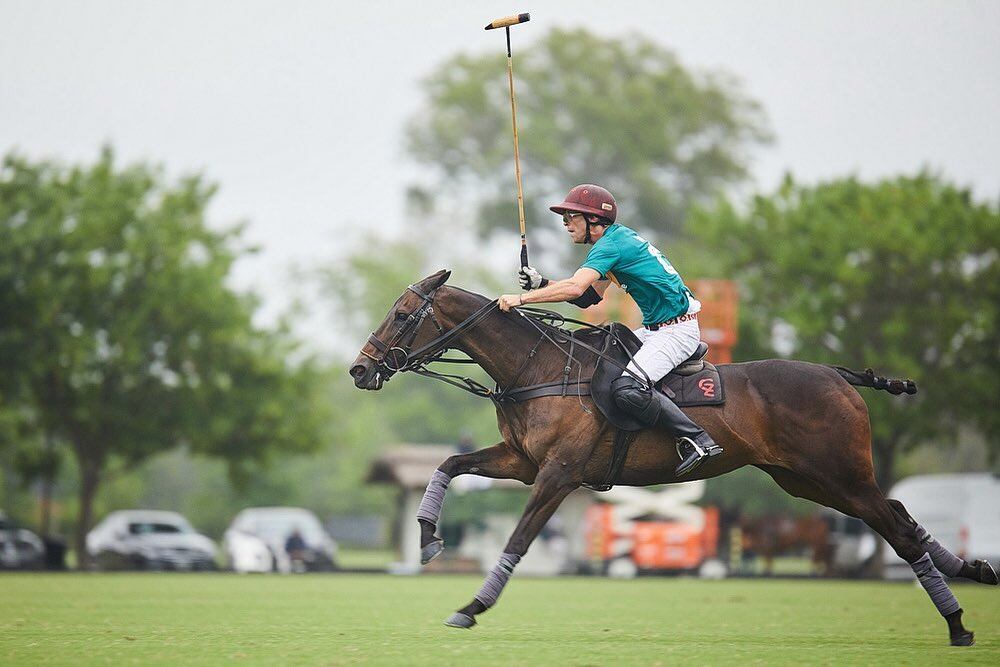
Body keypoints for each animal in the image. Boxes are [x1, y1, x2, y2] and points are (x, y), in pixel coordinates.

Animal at [350, 272, 992, 648]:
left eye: (403, 315)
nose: (359, 370)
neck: (540, 369)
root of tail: (837, 374)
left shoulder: (558, 473)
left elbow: (519, 537)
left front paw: (472, 606)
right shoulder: (521, 460)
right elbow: (448, 464)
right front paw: (428, 538)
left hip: (838, 473)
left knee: (895, 528)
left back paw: (960, 623)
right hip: (806, 481)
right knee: (899, 514)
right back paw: (974, 571)